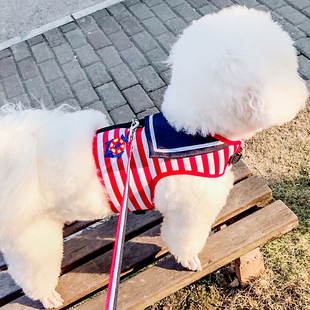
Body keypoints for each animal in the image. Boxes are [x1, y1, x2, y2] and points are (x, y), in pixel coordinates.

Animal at [0, 5, 308, 310]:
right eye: (288, 67)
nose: (302, 89)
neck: (194, 133)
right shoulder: (189, 209)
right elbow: (183, 238)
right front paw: (188, 260)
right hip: (30, 238)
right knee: (32, 272)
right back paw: (47, 296)